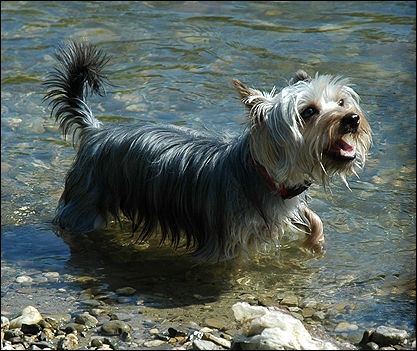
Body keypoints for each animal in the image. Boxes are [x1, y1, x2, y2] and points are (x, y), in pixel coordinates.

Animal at [44, 40, 372, 262]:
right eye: (309, 112)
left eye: (341, 101)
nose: (352, 119)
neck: (265, 176)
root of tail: (96, 131)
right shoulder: (226, 244)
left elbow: (312, 220)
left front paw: (316, 243)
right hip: (86, 204)